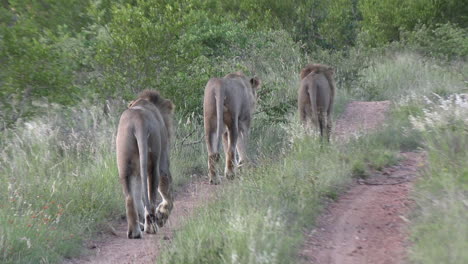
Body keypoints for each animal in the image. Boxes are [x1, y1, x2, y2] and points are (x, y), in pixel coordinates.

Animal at [116, 89, 175, 238]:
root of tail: (138, 121)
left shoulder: (136, 171)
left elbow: (137, 194)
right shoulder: (163, 159)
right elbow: (167, 192)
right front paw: (161, 215)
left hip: (124, 164)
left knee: (130, 197)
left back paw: (135, 232)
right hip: (153, 162)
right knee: (152, 196)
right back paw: (151, 227)